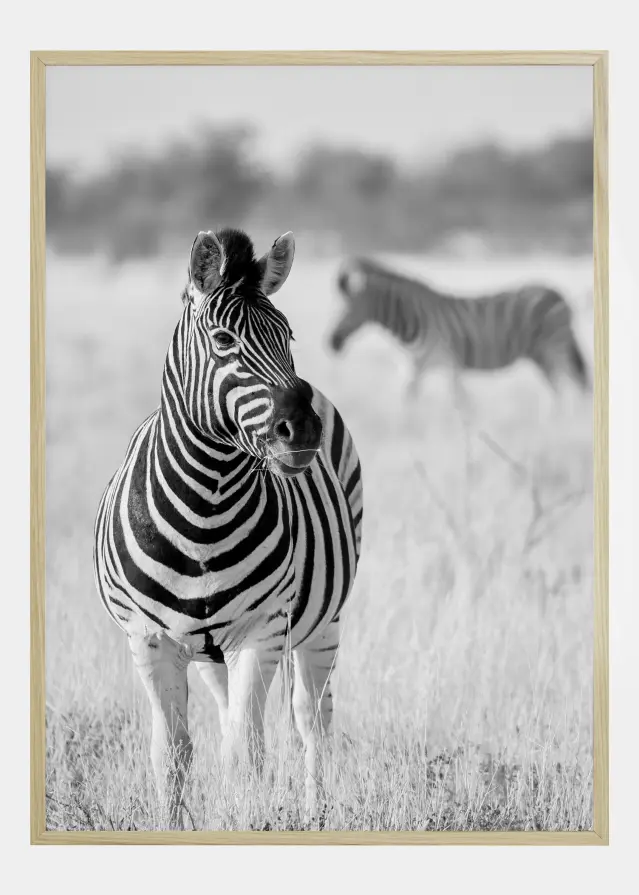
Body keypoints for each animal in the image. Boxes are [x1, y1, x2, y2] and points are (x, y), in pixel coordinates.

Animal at [93, 228, 363, 828]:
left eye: (288, 336)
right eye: (222, 340)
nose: (302, 431)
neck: (205, 508)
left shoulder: (260, 632)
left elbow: (247, 754)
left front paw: (246, 820)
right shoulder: (149, 639)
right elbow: (170, 754)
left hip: (323, 621)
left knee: (312, 720)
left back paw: (316, 815)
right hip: (210, 650)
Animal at [330, 258, 590, 400]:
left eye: (349, 309)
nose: (331, 343)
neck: (413, 320)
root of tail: (557, 293)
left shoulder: (449, 363)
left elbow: (460, 403)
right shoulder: (415, 366)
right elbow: (408, 399)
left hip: (555, 346)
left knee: (576, 383)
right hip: (540, 354)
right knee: (558, 388)